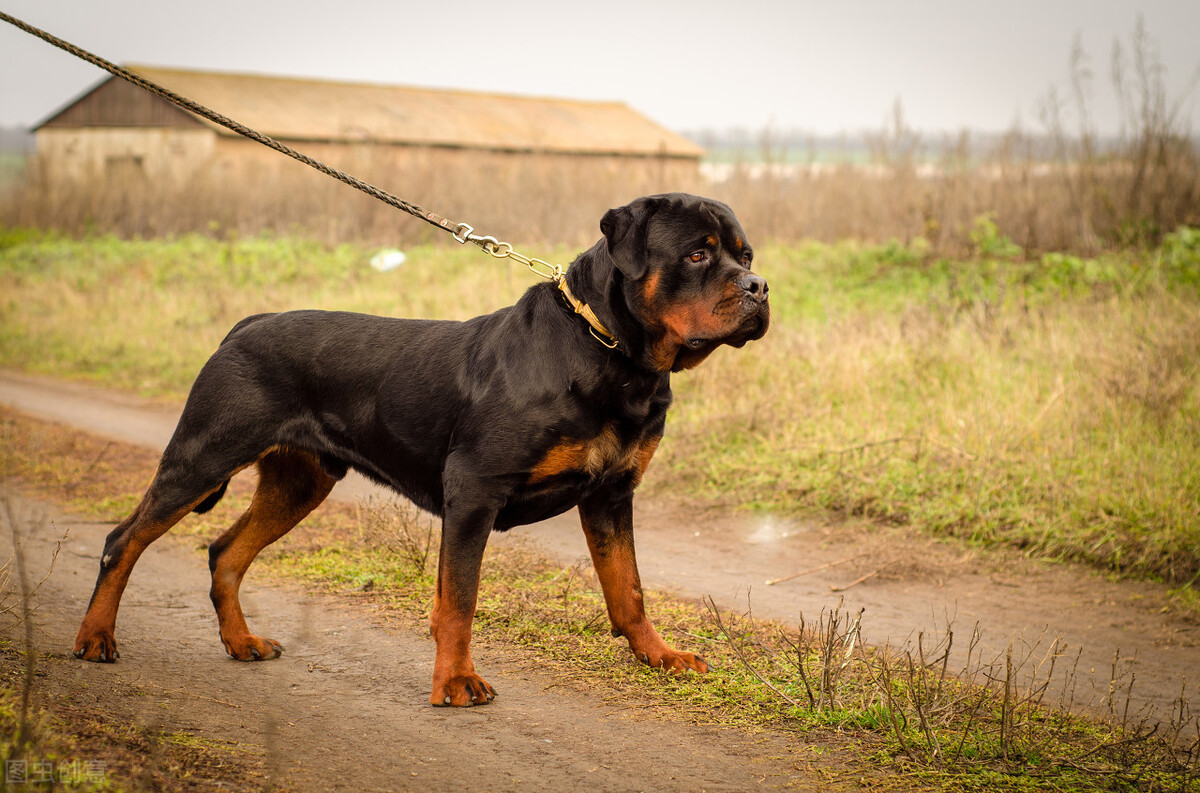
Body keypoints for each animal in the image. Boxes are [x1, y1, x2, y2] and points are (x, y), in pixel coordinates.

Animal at [72, 193, 768, 705]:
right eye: (698, 254)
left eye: (745, 254)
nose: (760, 287)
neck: (612, 354)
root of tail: (245, 324)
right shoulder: (475, 492)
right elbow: (459, 599)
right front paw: (455, 681)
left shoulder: (611, 495)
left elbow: (629, 591)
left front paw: (660, 655)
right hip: (202, 455)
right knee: (124, 540)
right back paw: (95, 638)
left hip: (300, 482)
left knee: (225, 551)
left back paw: (241, 642)